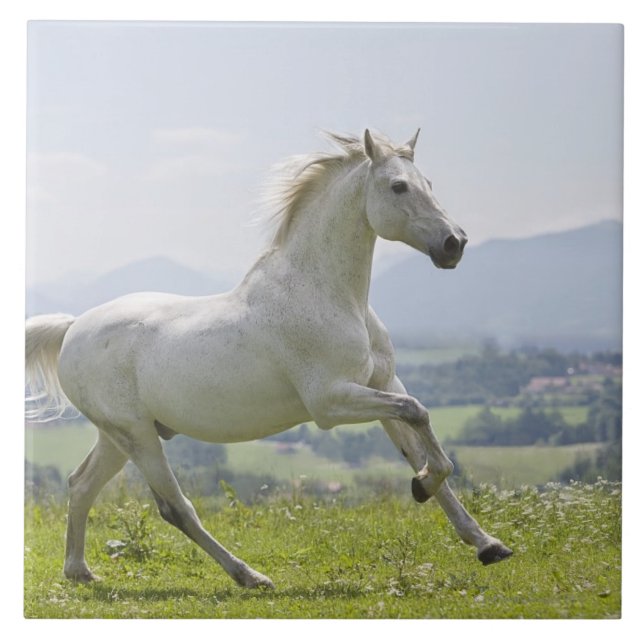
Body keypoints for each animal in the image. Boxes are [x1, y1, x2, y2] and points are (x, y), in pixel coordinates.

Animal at [25, 129, 512, 589]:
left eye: (427, 182)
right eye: (397, 186)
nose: (454, 244)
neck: (328, 295)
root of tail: (73, 327)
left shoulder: (383, 385)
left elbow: (420, 442)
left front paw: (486, 542)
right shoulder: (331, 402)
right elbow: (421, 418)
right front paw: (424, 488)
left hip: (119, 436)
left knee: (80, 484)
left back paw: (79, 571)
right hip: (136, 436)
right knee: (174, 507)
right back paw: (249, 576)